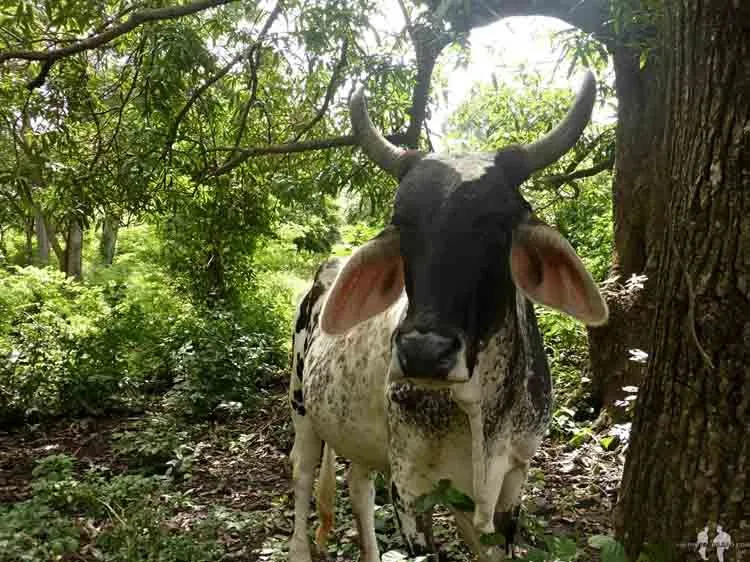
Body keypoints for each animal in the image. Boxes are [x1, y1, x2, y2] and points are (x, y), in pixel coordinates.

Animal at [288, 70, 608, 562]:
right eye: (402, 223)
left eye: (498, 224)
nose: (423, 352)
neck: (480, 409)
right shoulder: (410, 490)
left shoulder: (511, 482)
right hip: (302, 407)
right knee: (302, 476)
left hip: (360, 438)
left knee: (359, 486)